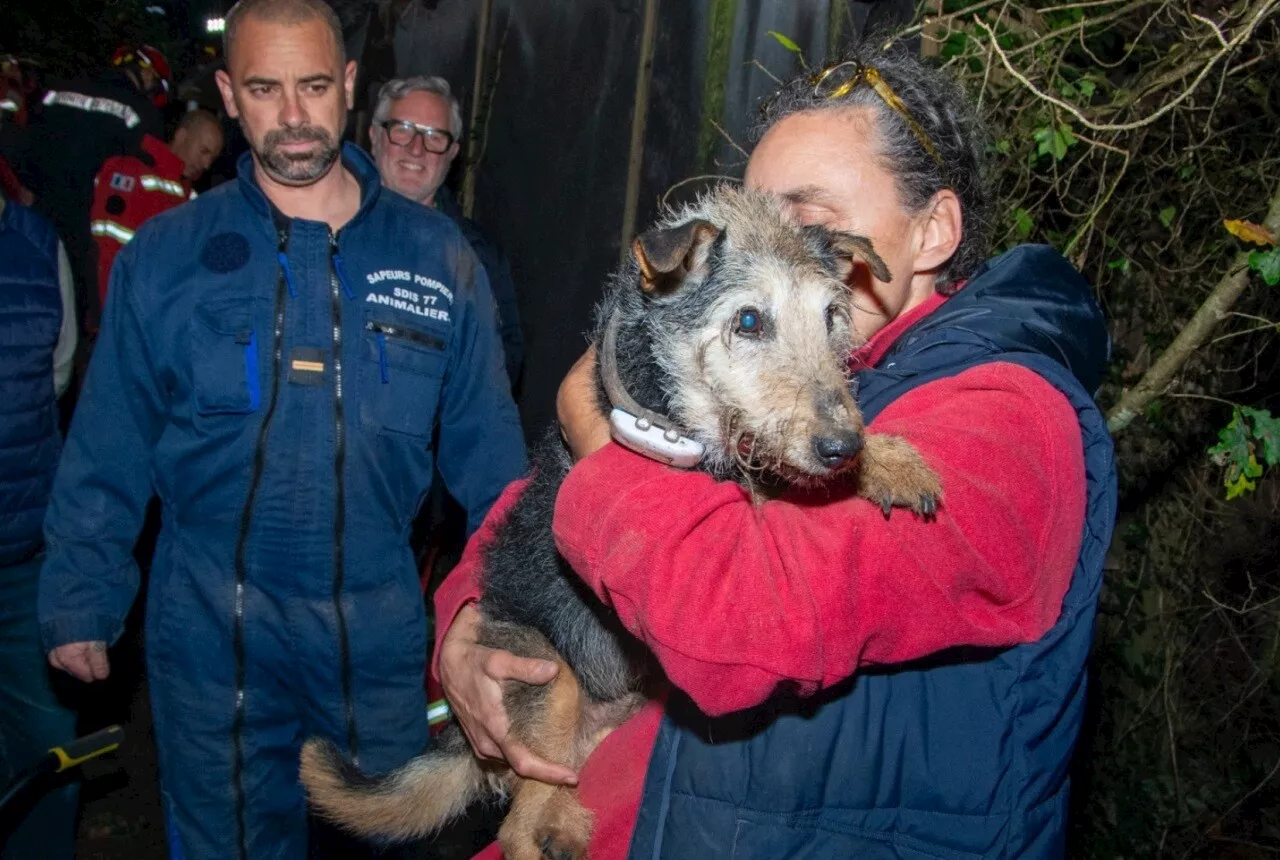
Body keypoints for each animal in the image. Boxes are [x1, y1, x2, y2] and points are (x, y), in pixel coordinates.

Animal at [299, 186, 942, 860]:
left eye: (831, 316)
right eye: (748, 321)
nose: (842, 446)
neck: (666, 379)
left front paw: (886, 461)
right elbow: (766, 487)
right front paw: (867, 464)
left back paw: (566, 825)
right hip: (548, 679)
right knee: (516, 827)